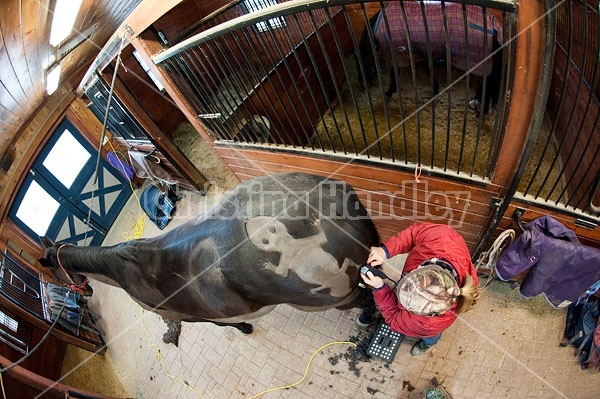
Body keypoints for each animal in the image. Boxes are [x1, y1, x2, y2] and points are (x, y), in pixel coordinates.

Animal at [38, 174, 380, 334]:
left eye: (51, 270)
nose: (83, 293)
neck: (124, 268)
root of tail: (334, 193)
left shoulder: (187, 316)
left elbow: (222, 325)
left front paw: (244, 327)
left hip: (332, 294)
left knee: (366, 299)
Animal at [358, 0, 504, 113]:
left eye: (363, 65)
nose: (363, 86)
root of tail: (493, 26)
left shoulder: (402, 54)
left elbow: (397, 72)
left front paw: (389, 92)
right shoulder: (418, 52)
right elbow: (426, 67)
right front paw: (435, 89)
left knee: (487, 83)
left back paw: (480, 109)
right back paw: (476, 103)